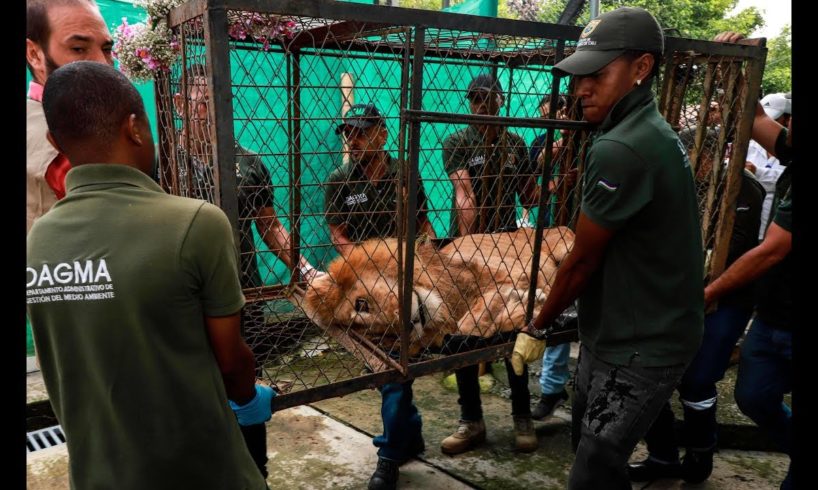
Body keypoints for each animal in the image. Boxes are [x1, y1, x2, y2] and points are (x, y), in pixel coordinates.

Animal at [294, 228, 572, 358]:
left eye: (361, 304)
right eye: (379, 334)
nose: (410, 324)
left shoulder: (513, 270)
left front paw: (529, 299)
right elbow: (469, 325)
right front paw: (521, 308)